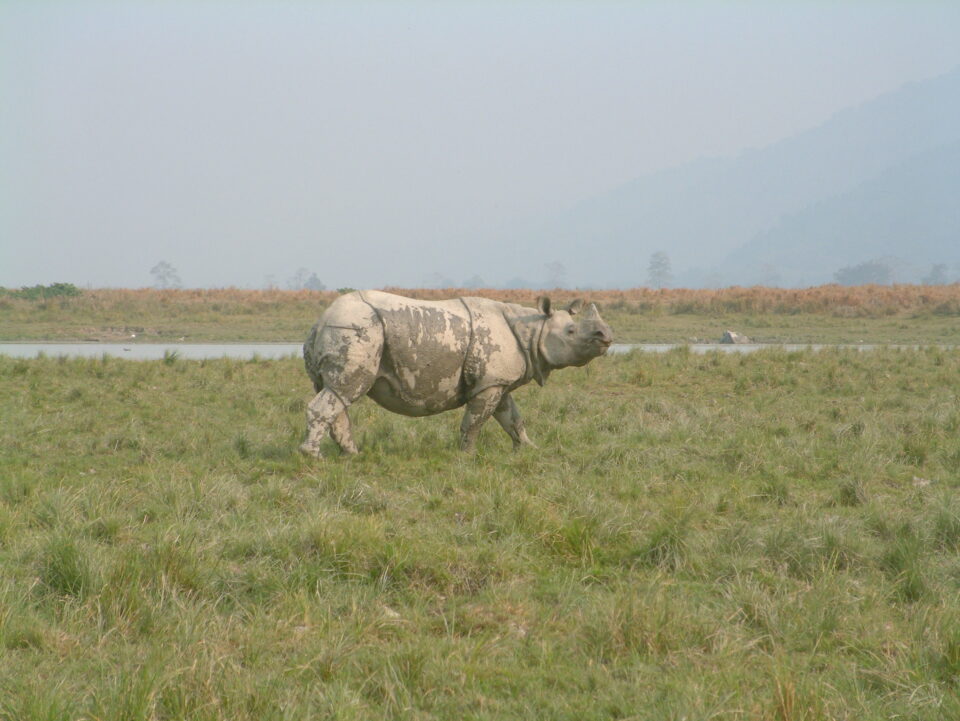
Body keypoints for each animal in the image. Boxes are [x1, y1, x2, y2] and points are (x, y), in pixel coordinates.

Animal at [299, 290, 613, 456]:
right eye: (571, 332)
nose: (606, 336)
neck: (533, 329)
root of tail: (320, 322)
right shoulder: (489, 384)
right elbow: (475, 420)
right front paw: (468, 456)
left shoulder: (497, 382)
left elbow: (513, 418)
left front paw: (529, 448)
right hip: (358, 330)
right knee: (345, 390)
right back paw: (314, 457)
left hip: (348, 330)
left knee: (336, 393)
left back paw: (352, 455)